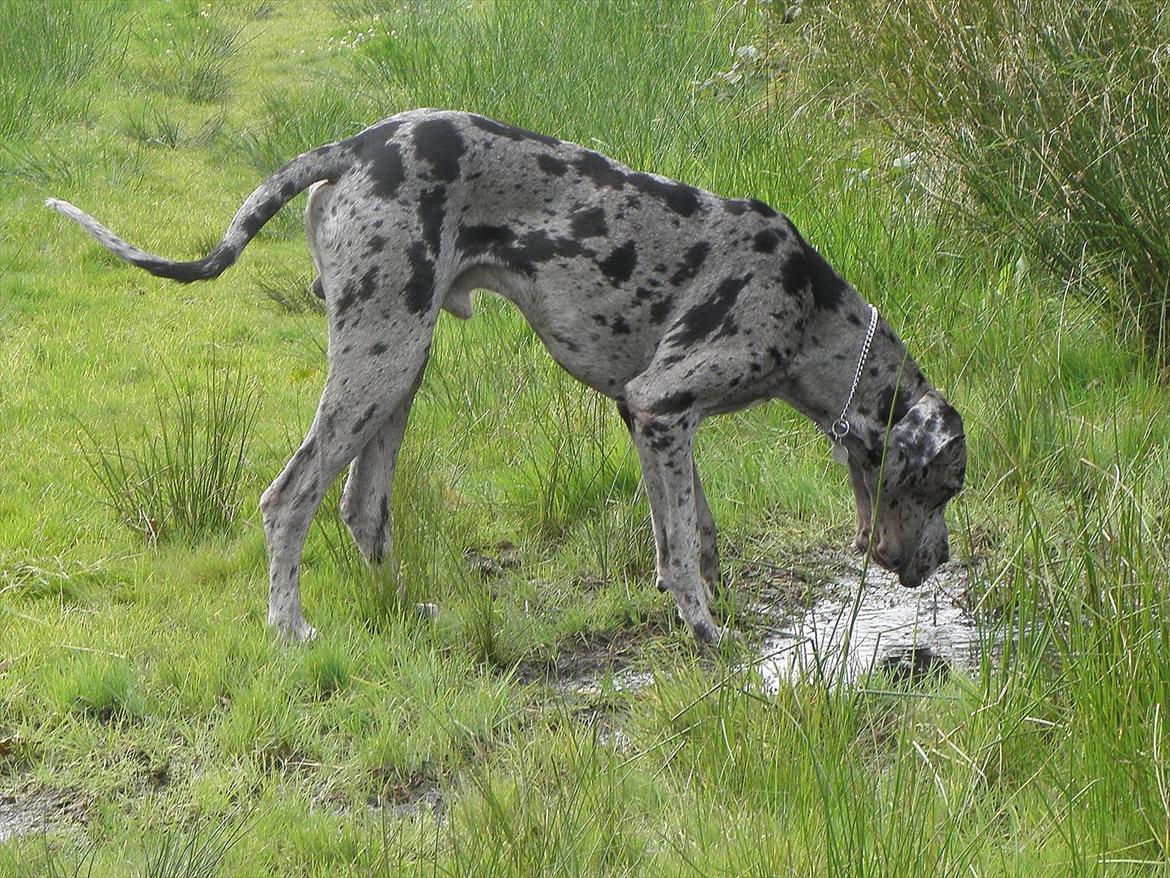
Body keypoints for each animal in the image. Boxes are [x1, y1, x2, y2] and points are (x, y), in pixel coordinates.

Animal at [45, 110, 964, 646]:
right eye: (949, 488)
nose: (942, 561)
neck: (811, 311)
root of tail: (356, 144)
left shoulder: (658, 421)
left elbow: (696, 532)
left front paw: (712, 601)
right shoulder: (659, 406)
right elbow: (678, 550)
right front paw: (708, 634)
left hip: (400, 369)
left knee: (362, 509)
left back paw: (401, 613)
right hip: (378, 362)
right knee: (289, 499)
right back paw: (290, 628)